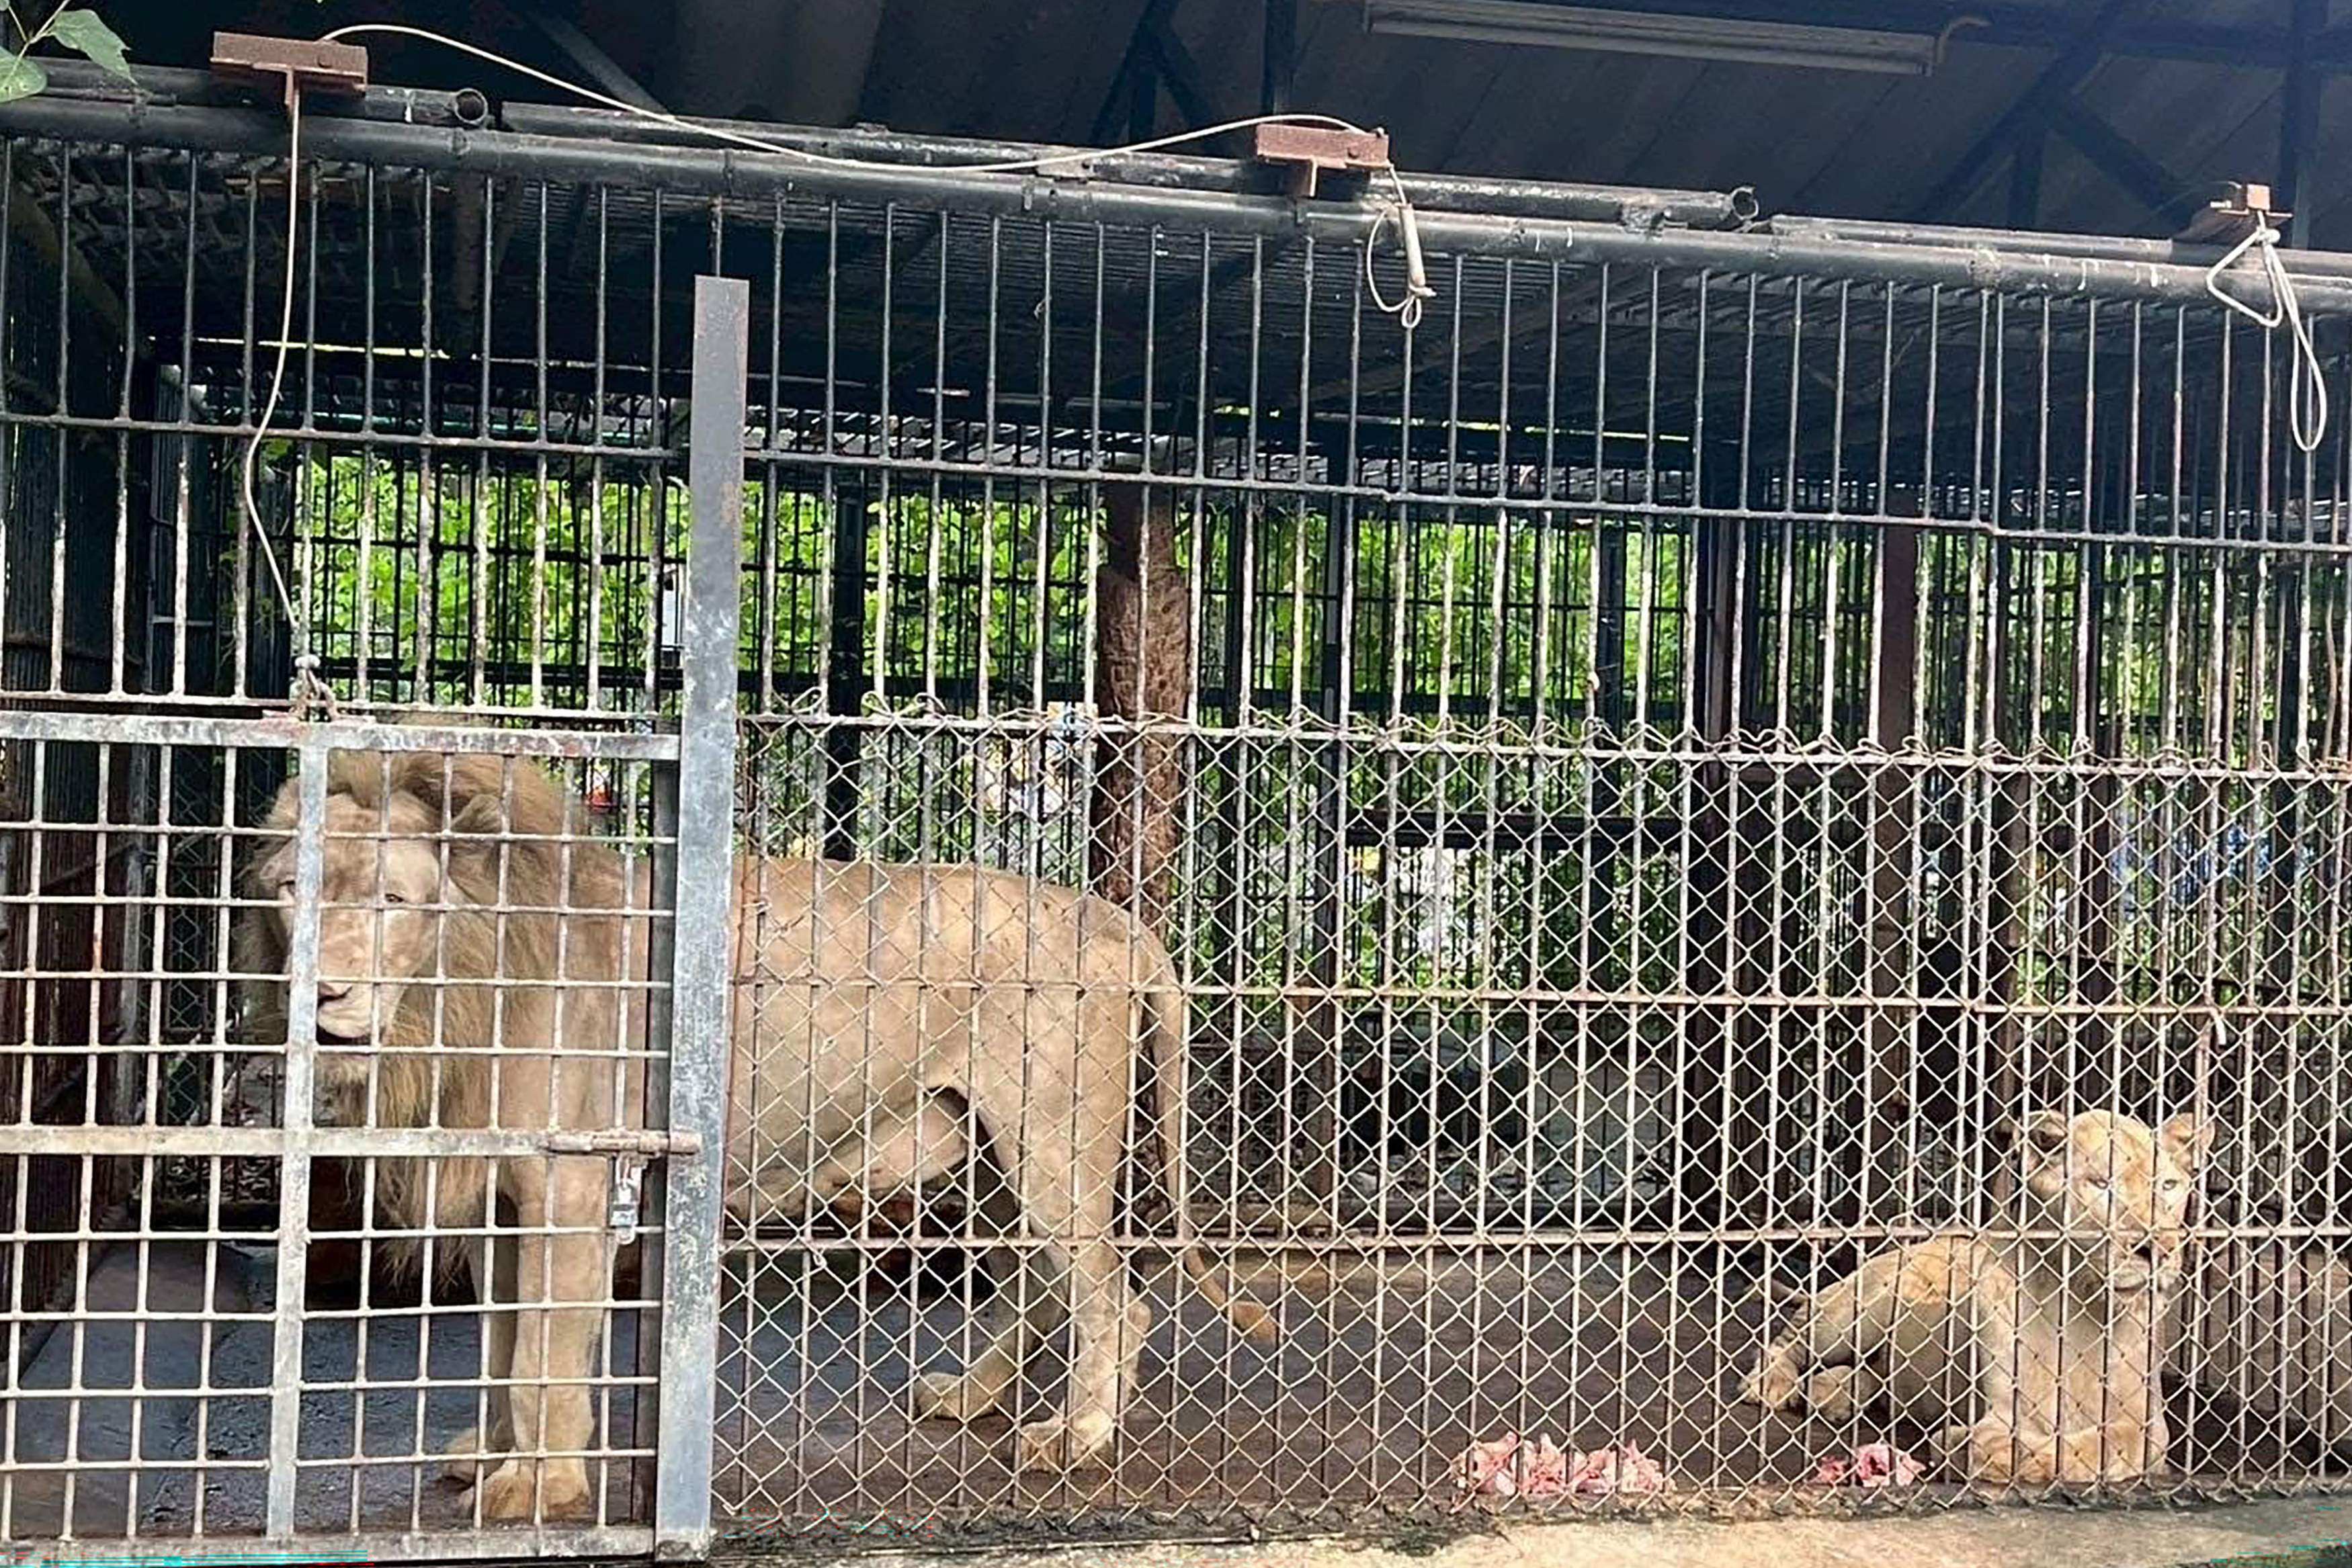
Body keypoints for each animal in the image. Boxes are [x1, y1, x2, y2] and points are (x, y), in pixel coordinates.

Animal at [234, 745, 1274, 1523]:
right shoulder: (498, 1189)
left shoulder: (572, 1184)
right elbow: (501, 1346)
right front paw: (490, 1457)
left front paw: (536, 1490)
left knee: (1110, 1296)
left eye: (392, 902)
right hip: (984, 1154)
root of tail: (1116, 919)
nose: (319, 992)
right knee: (1039, 1283)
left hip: (1049, 1141)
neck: (451, 996)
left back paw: (1076, 1438)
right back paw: (969, 1395)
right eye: (291, 889)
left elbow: (542, 1358)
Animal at [1739, 1108, 2210, 1486]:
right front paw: (1966, 1444)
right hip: (1855, 1311)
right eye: (2101, 1184)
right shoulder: (2003, 1406)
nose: (2160, 1249)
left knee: (1878, 1374)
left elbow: (2103, 1445)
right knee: (1788, 1341)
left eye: (2169, 1185)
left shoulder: (2147, 1423)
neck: (2082, 1304)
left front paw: (1968, 1446)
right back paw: (1773, 1384)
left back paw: (1832, 1393)